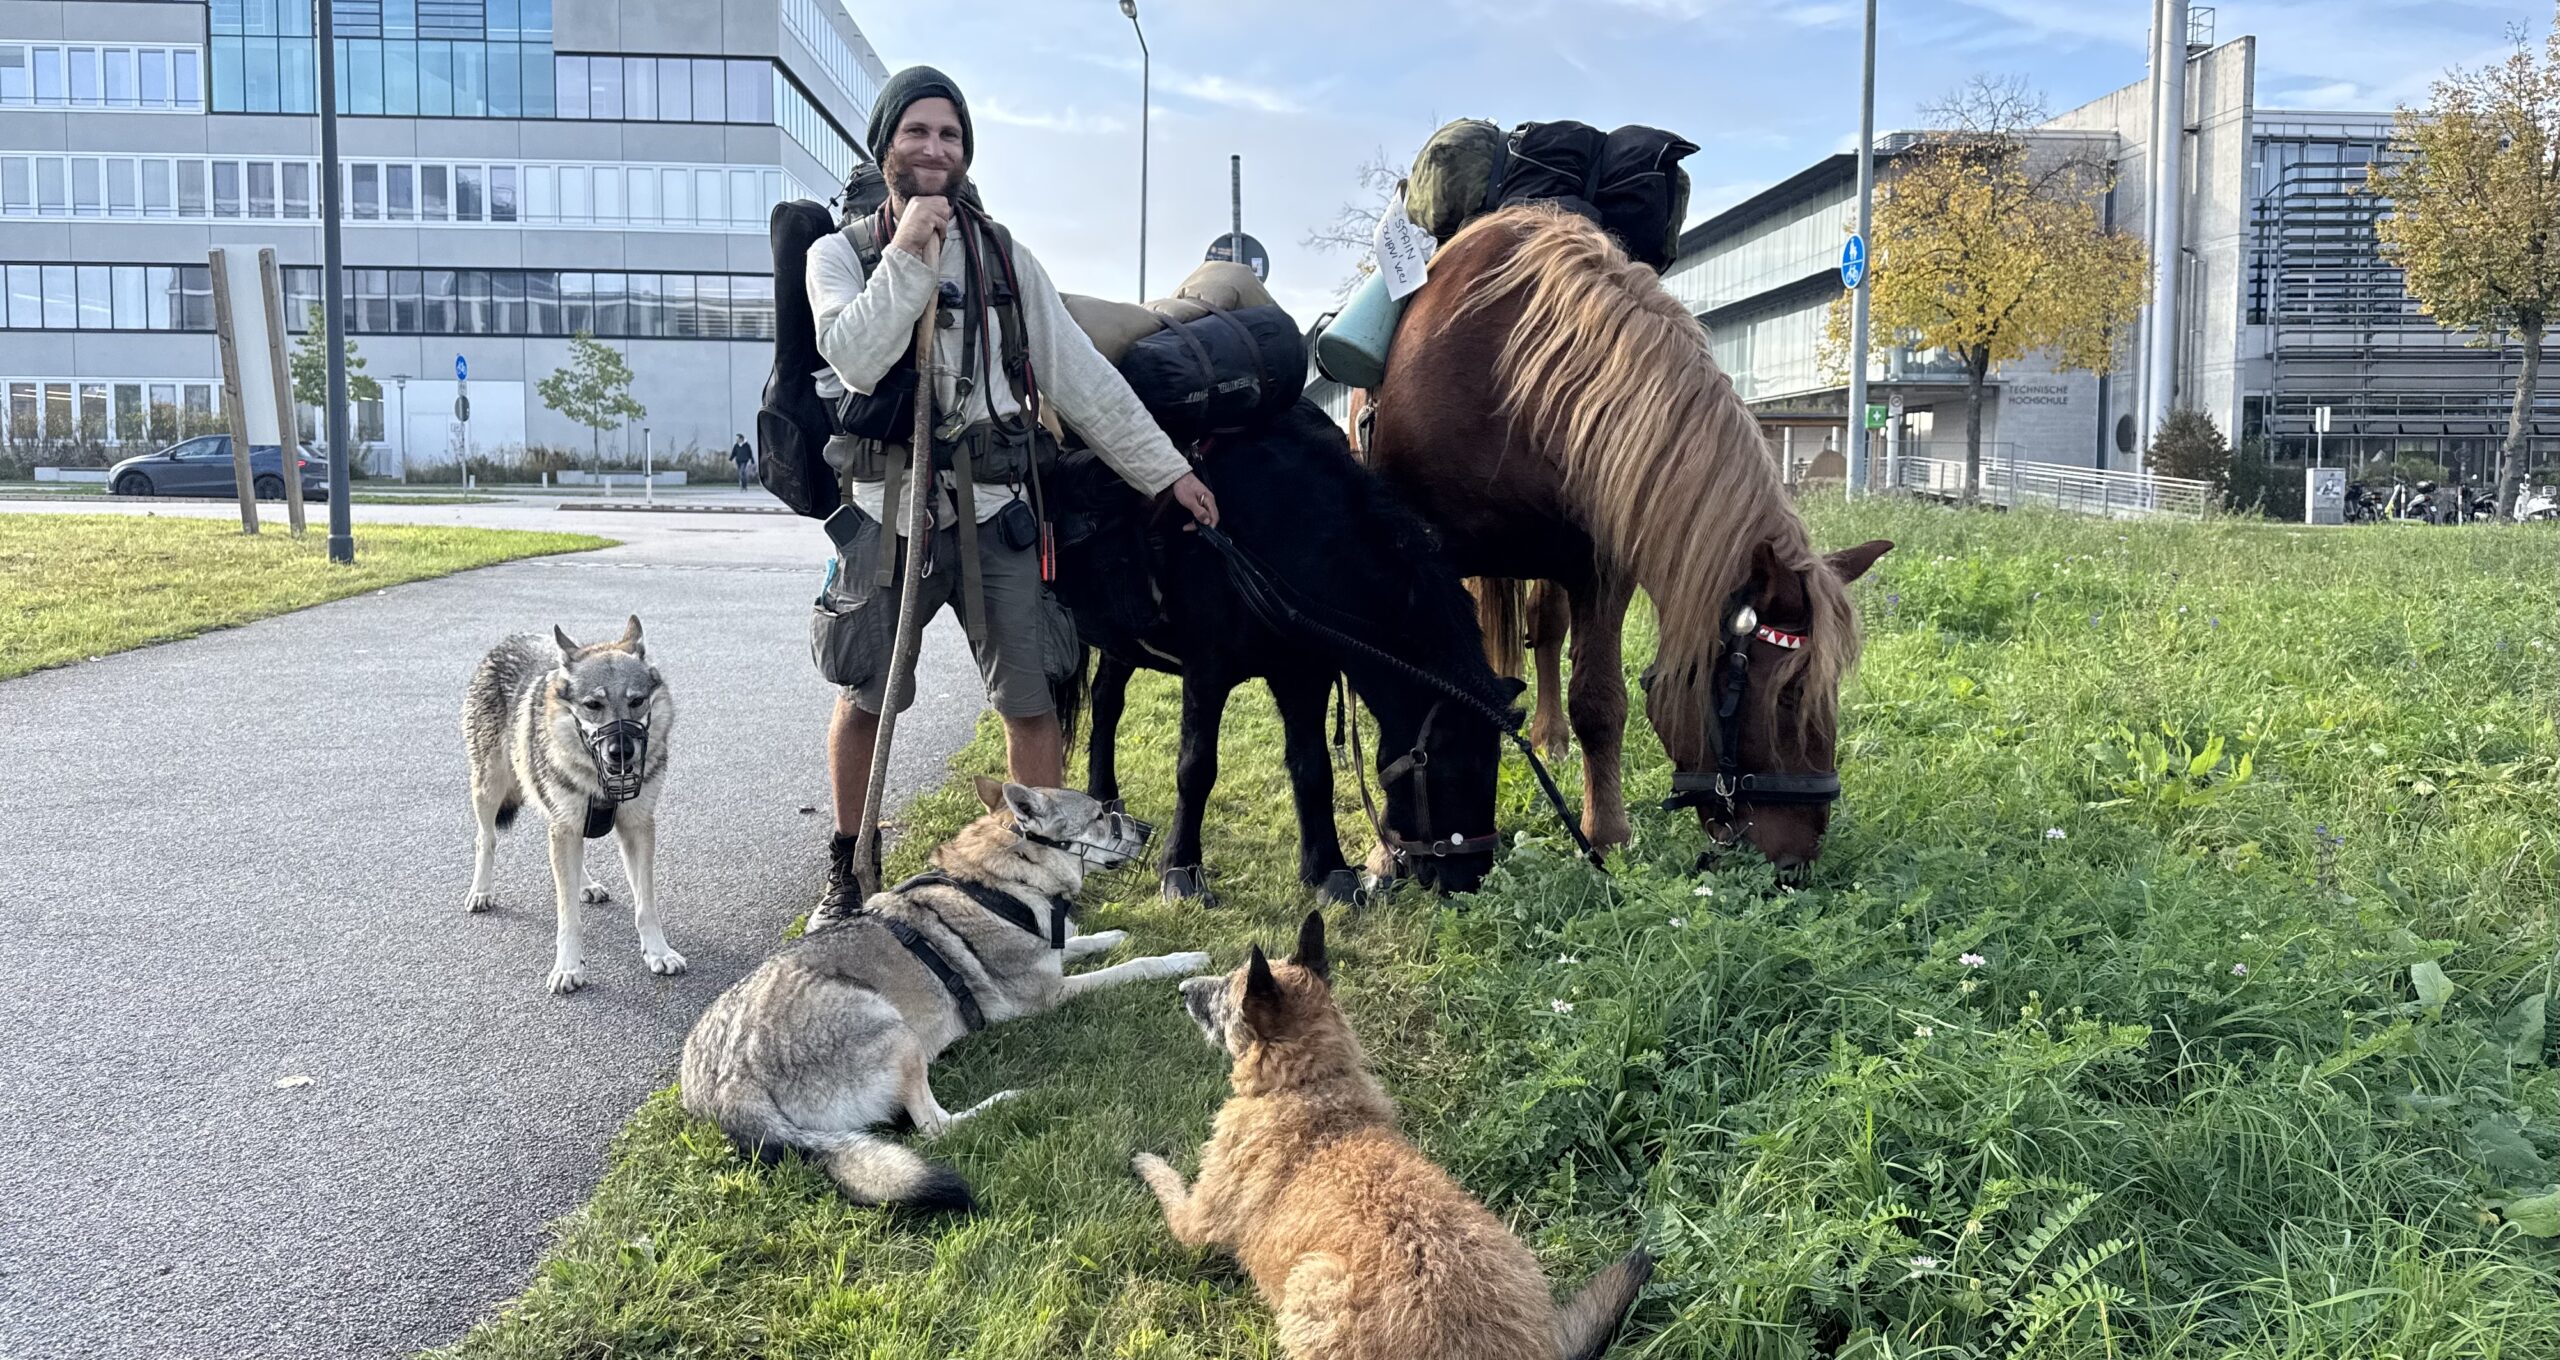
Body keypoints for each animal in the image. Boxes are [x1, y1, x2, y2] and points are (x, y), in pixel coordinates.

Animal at [460, 617, 680, 988]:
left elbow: (646, 905)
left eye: (636, 701)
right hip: (489, 789)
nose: (622, 752)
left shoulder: (636, 827)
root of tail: (511, 639)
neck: (602, 781)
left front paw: (658, 952)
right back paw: (481, 891)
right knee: (485, 839)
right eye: (593, 705)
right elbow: (568, 916)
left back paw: (586, 885)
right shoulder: (564, 827)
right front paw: (568, 967)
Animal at [675, 778, 1203, 1214]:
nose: (1145, 829)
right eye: (1099, 815)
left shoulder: (1053, 956)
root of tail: (729, 1088)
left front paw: (1115, 934)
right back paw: (1006, 1100)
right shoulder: (1050, 994)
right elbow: (1133, 967)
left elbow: (1084, 941)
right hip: (896, 1029)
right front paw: (1182, 959)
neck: (1002, 882)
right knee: (934, 1127)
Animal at [1044, 396, 1515, 906]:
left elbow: (1313, 769)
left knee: (1105, 699)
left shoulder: (1304, 674)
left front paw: (1329, 870)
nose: (1469, 878)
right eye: (1454, 771)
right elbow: (1196, 768)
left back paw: (1105, 802)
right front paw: (1181, 868)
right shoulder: (1206, 671)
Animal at [1131, 916, 1648, 1360]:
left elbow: (1169, 1181)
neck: (1310, 1084)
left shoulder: (1193, 1224)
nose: (1181, 988)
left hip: (1311, 1286)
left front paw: (1147, 1161)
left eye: (1225, 989)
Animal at [1372, 202, 1894, 870]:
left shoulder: (1600, 568)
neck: (1506, 384)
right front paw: (1385, 848)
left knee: (1545, 632)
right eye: (1787, 697)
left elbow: (1599, 702)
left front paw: (1607, 835)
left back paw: (1549, 735)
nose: (1800, 857)